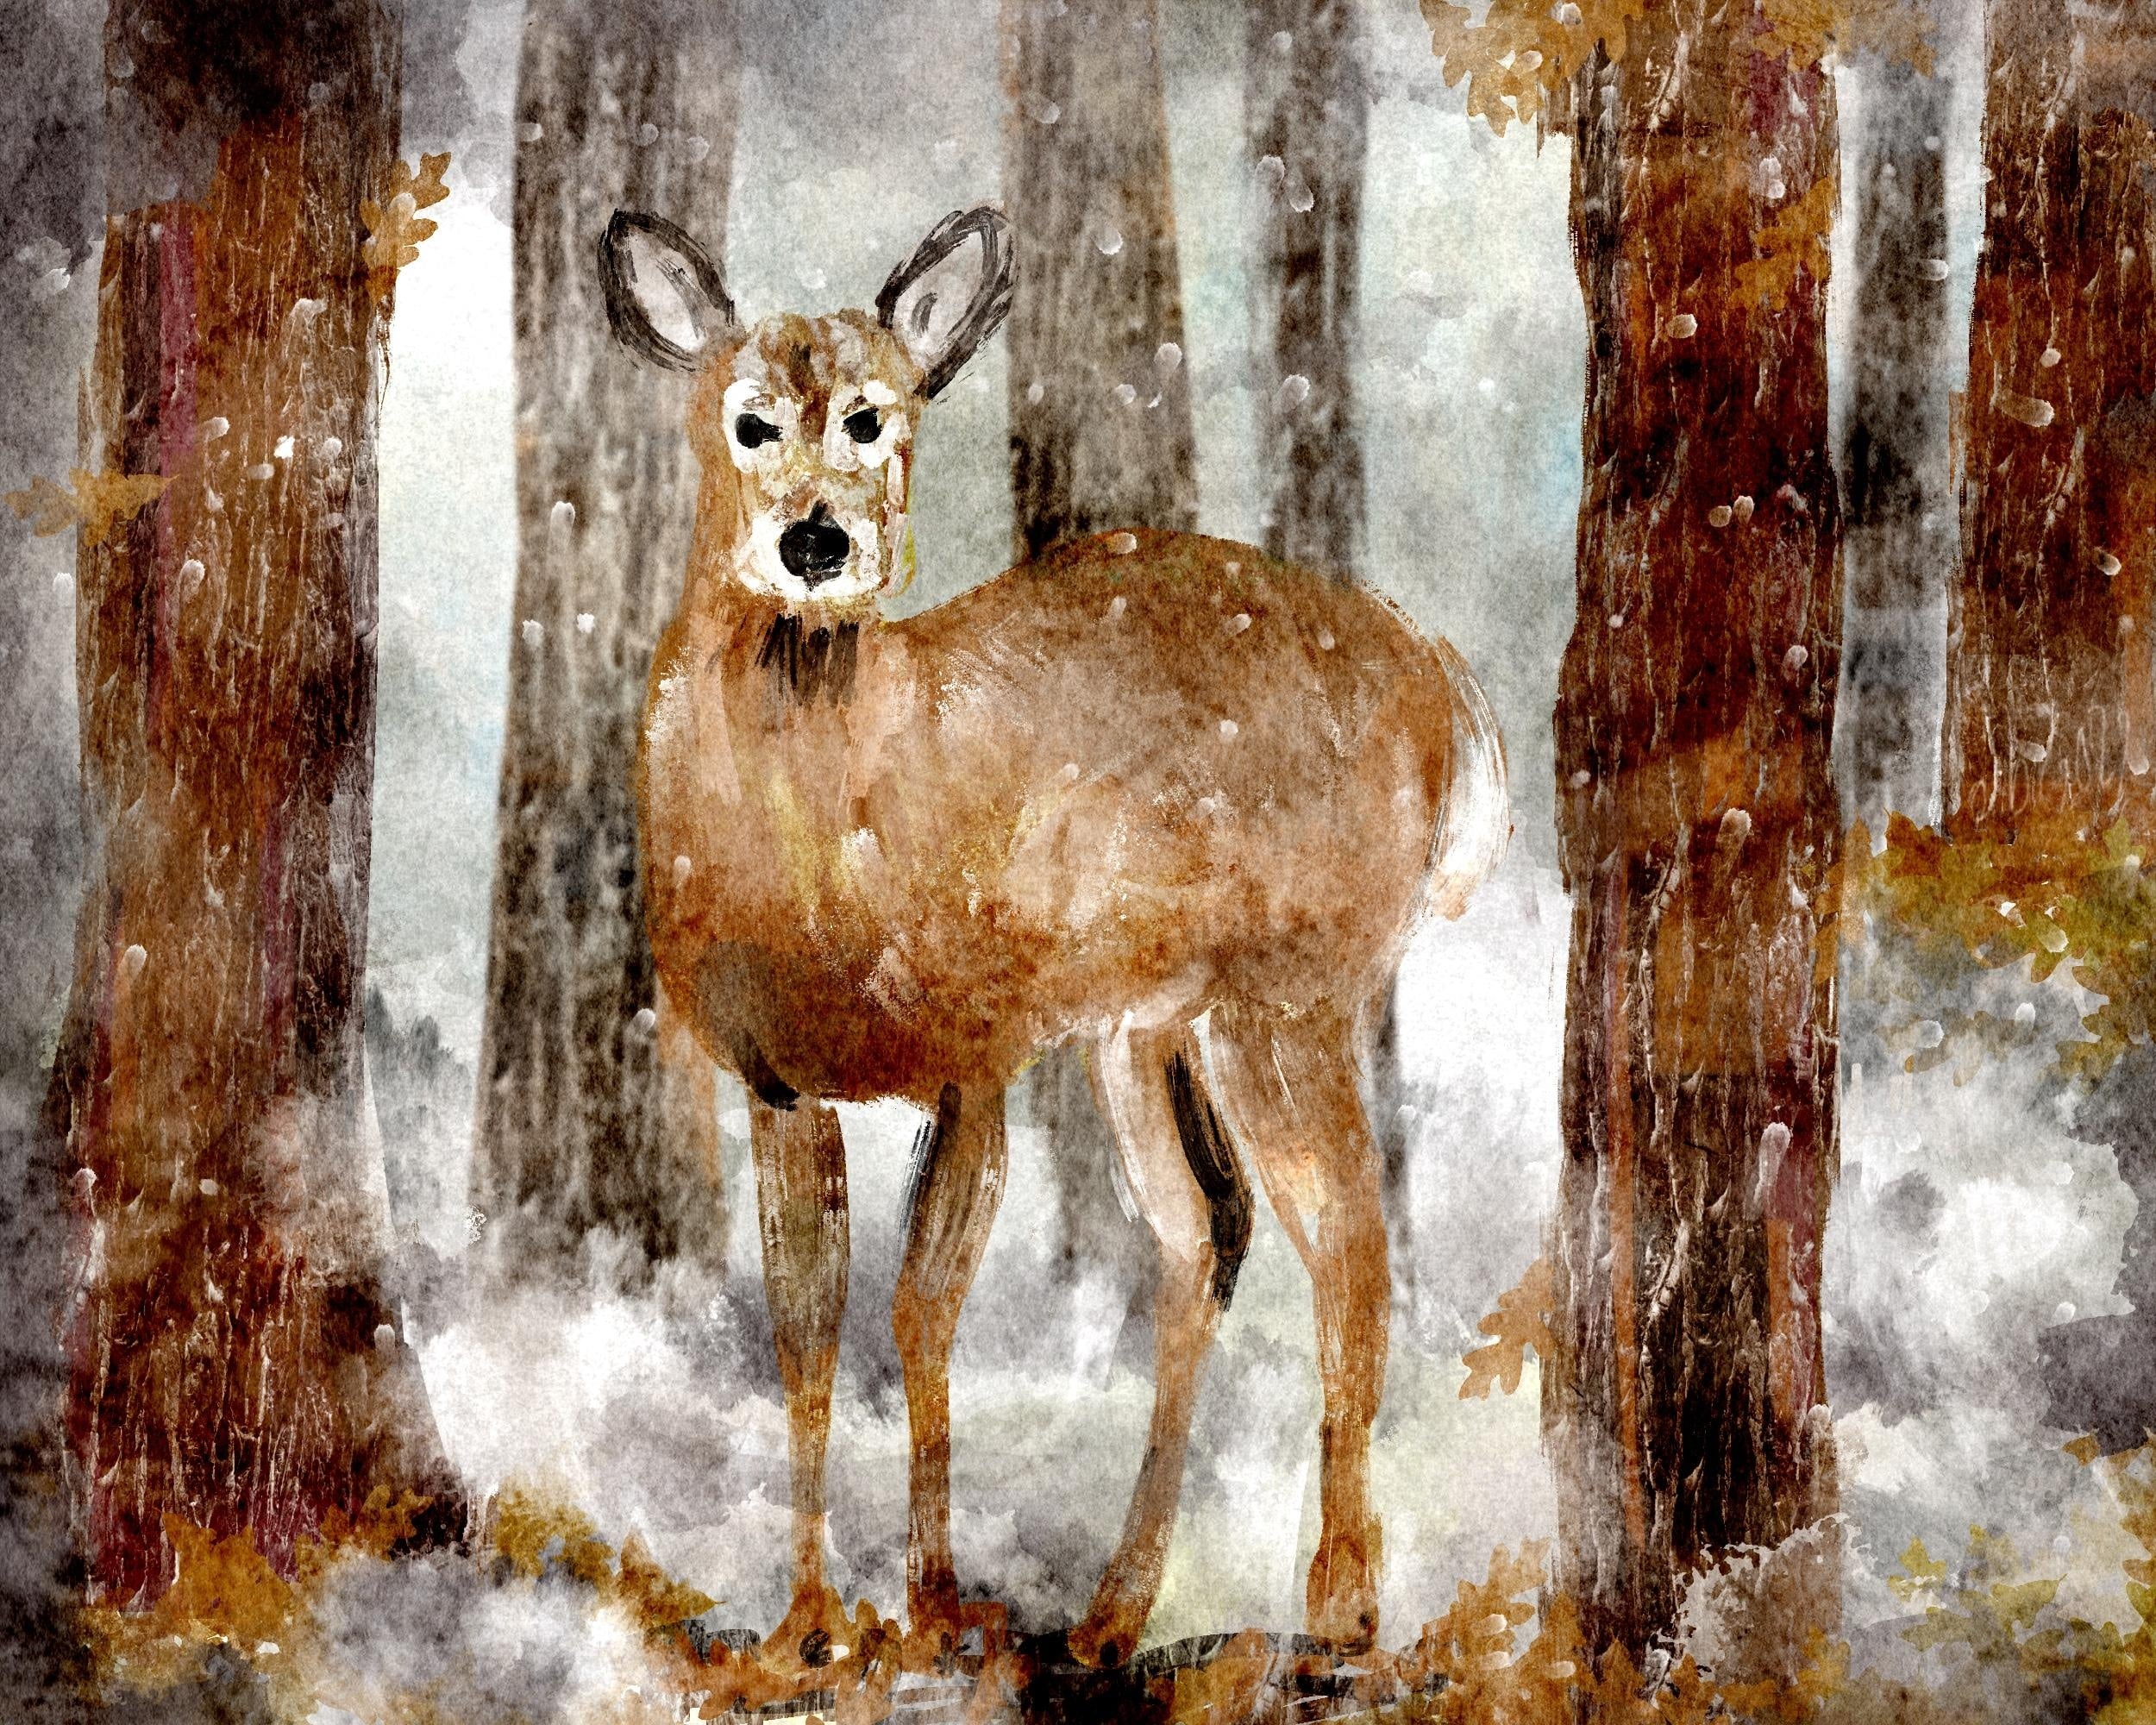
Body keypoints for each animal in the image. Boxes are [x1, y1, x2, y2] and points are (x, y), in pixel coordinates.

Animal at [599, 202, 1510, 1669]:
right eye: (747, 421)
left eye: (876, 417)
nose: (816, 543)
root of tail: (1445, 689)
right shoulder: (777, 1078)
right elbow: (807, 1329)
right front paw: (804, 1624)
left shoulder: (980, 1048)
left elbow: (920, 1313)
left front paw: (929, 1603)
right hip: (1147, 1024)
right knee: (1207, 1235)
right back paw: (1113, 1609)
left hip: (1290, 988)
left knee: (1350, 1246)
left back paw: (1340, 1607)